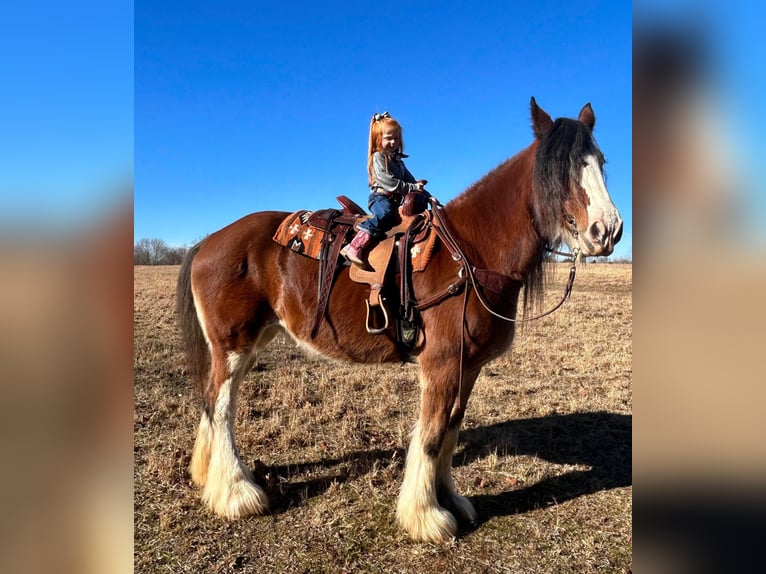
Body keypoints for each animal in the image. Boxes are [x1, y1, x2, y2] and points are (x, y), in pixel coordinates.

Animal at [178, 97, 624, 544]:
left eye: (600, 162)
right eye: (559, 168)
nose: (608, 230)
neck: (469, 253)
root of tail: (210, 241)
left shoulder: (468, 367)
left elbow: (450, 432)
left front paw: (452, 500)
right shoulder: (440, 364)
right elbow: (430, 436)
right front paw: (426, 516)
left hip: (251, 342)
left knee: (215, 400)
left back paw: (208, 474)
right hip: (233, 343)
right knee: (220, 407)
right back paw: (236, 492)